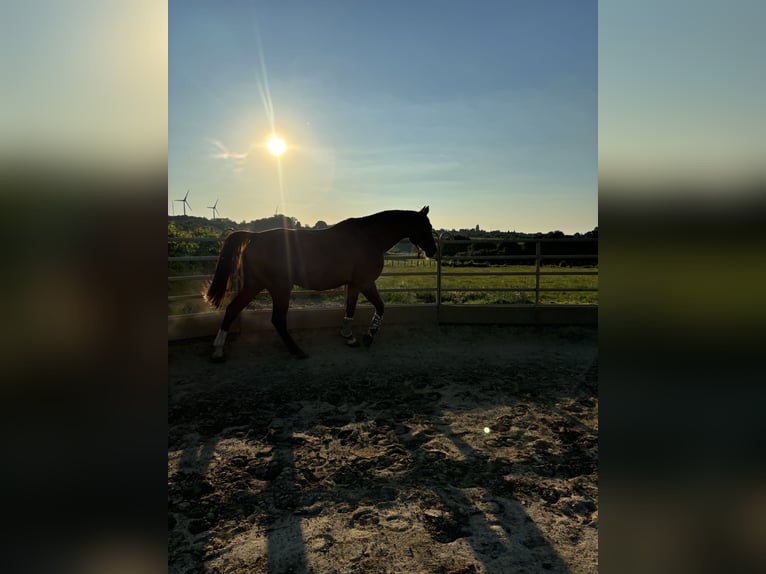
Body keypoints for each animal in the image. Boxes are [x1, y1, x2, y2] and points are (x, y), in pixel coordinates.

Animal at [204, 205, 438, 362]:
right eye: (426, 226)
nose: (433, 251)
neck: (370, 237)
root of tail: (254, 237)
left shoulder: (354, 284)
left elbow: (350, 309)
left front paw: (349, 337)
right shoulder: (365, 282)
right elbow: (380, 307)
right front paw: (368, 337)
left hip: (254, 284)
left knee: (232, 309)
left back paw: (218, 350)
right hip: (280, 288)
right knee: (277, 319)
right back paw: (297, 351)